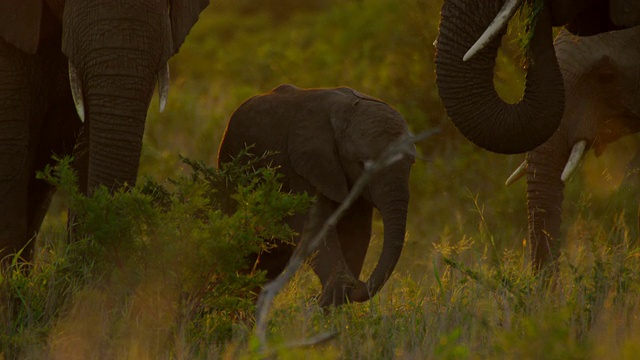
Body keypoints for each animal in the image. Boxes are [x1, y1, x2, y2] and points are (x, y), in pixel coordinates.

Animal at [215, 84, 416, 306]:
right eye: (364, 164)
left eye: (411, 163)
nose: (360, 284)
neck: (344, 112)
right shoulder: (300, 167)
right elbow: (313, 227)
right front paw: (335, 292)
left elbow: (356, 231)